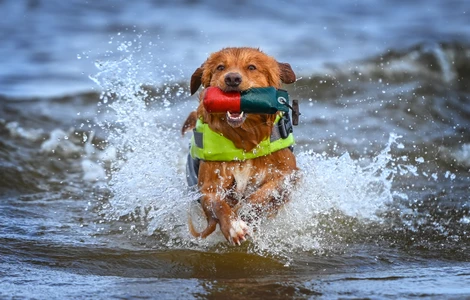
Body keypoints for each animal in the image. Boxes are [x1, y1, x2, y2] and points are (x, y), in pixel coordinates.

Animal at [183, 46, 298, 244]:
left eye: (251, 67)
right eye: (220, 67)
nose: (232, 79)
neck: (245, 139)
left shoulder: (290, 174)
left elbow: (266, 192)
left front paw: (245, 210)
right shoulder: (207, 186)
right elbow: (217, 203)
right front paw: (233, 226)